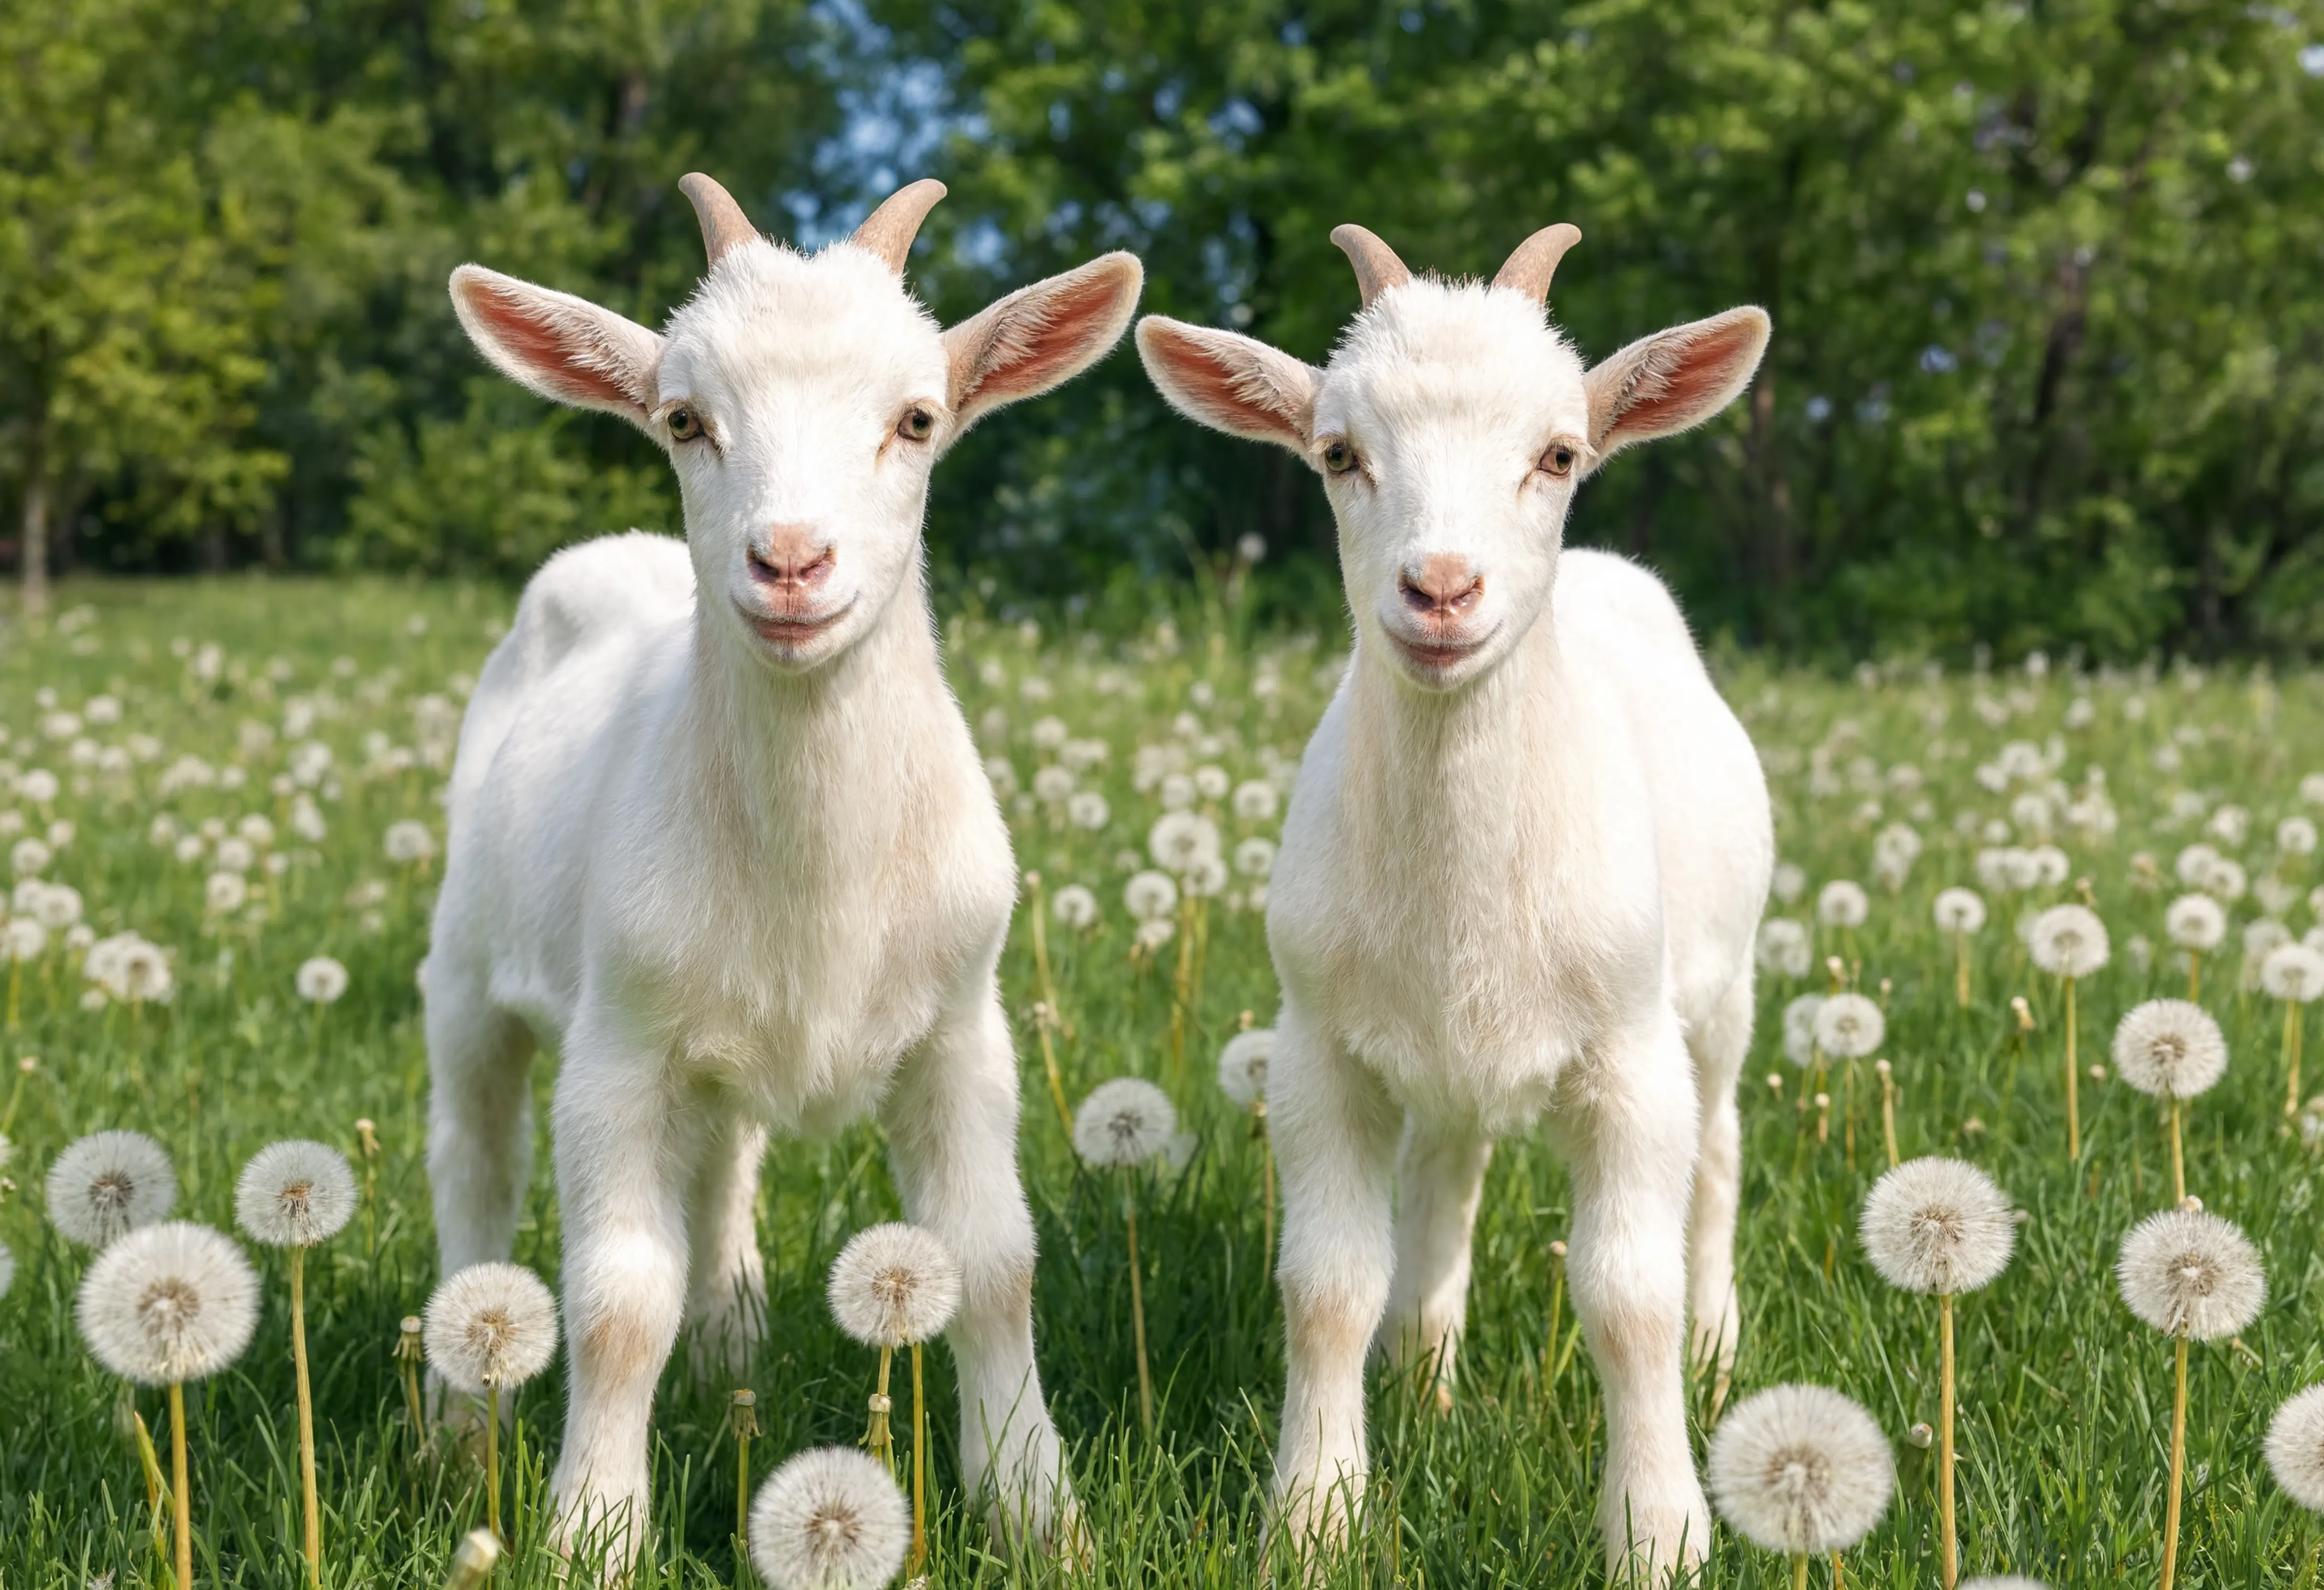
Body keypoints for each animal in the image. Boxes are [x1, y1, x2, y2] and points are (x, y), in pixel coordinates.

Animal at [426, 173, 1141, 1559]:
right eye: (685, 418)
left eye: (917, 418)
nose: (792, 563)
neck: (823, 877)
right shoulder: (618, 1050)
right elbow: (615, 1302)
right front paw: (591, 1534)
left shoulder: (960, 1032)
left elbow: (994, 1264)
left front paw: (1040, 1510)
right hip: (469, 987)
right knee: (474, 1172)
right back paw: (457, 1427)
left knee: (721, 1176)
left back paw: (728, 1352)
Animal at [1135, 223, 1772, 1579]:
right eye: (1337, 452)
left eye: (1557, 452)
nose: (1438, 590)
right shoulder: (1318, 1049)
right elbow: (1327, 1284)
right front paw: (1314, 1515)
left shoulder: (1629, 1056)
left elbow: (1625, 1295)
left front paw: (1658, 1530)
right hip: (1439, 1055)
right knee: (1446, 1178)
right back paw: (1423, 1382)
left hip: (1720, 997)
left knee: (1719, 1156)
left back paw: (1714, 1348)